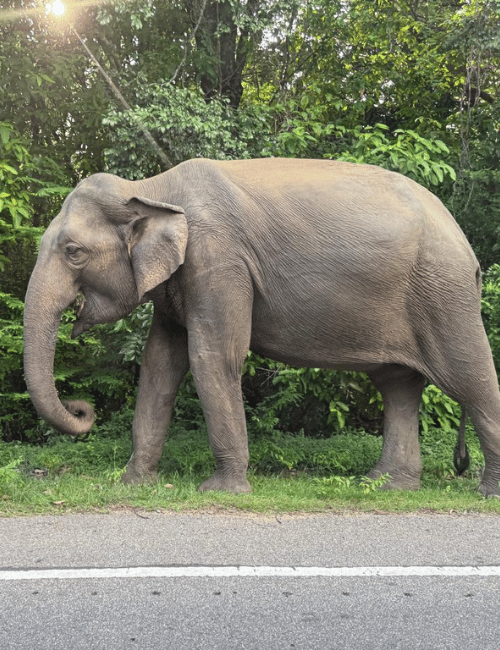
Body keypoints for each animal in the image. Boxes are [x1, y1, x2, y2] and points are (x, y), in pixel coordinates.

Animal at [23, 157, 500, 496]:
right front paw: (134, 484)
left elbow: (212, 356)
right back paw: (384, 485)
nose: (82, 410)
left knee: (469, 380)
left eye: (73, 252)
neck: (149, 188)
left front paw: (222, 491)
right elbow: (160, 364)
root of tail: (467, 246)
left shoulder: (218, 259)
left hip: (443, 292)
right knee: (398, 386)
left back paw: (484, 494)